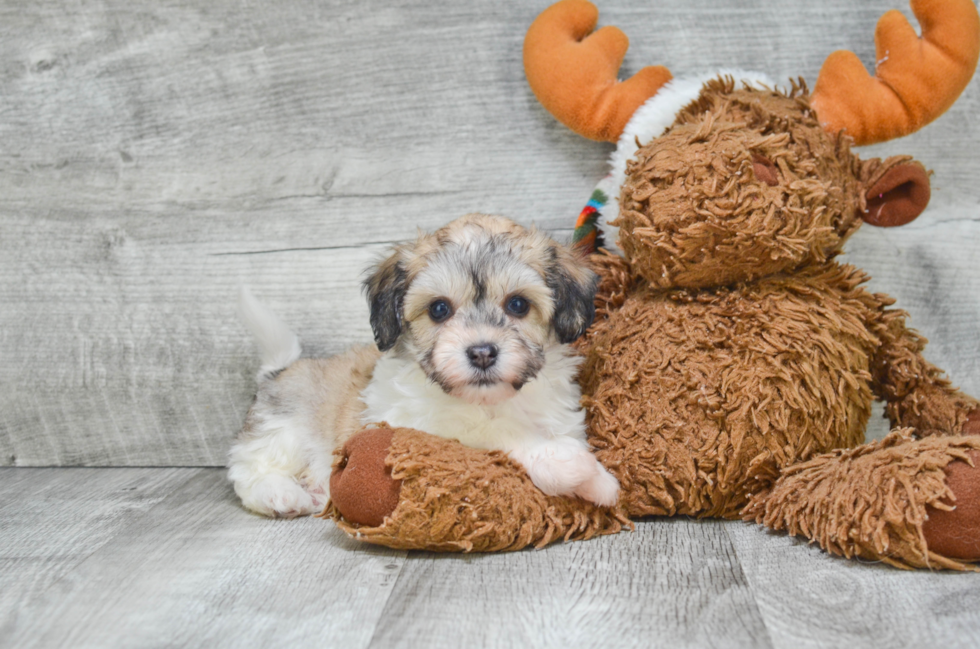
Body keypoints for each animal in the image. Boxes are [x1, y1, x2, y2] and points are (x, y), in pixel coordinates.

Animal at [228, 215, 620, 520]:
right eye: (439, 309)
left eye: (518, 304)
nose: (482, 353)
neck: (492, 401)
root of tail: (280, 370)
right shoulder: (418, 424)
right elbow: (496, 431)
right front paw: (568, 464)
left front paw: (596, 482)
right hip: (287, 431)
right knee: (247, 470)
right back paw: (281, 494)